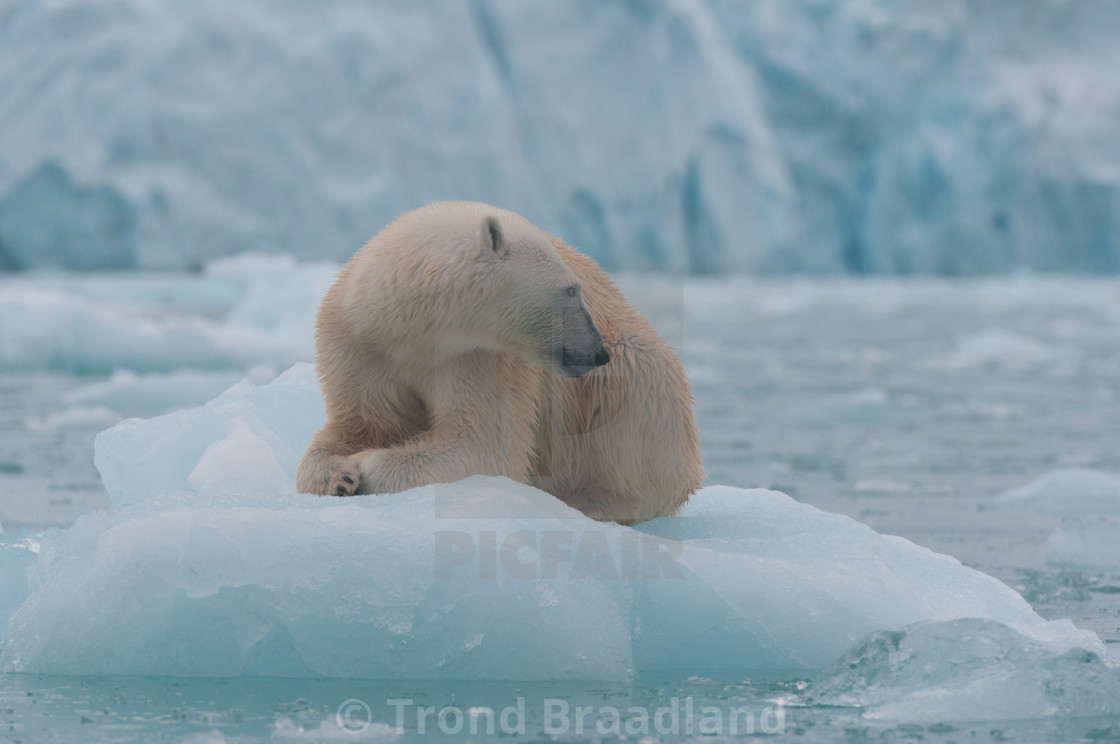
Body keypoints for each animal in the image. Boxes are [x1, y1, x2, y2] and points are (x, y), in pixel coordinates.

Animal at [297, 199, 698, 522]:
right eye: (571, 289)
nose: (597, 352)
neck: (412, 330)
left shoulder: (481, 359)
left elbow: (481, 444)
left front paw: (364, 464)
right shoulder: (361, 345)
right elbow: (361, 424)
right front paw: (338, 475)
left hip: (635, 370)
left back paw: (589, 502)